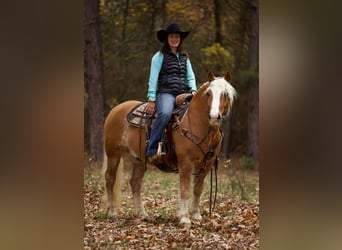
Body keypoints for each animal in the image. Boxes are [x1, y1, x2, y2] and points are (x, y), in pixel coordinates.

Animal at [102, 70, 238, 225]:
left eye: (225, 94)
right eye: (208, 93)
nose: (214, 117)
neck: (195, 123)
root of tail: (115, 109)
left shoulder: (207, 164)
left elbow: (197, 189)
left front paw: (195, 215)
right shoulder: (186, 163)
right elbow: (185, 190)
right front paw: (184, 218)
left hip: (139, 160)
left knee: (135, 182)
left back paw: (142, 213)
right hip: (113, 154)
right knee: (110, 179)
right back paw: (112, 212)